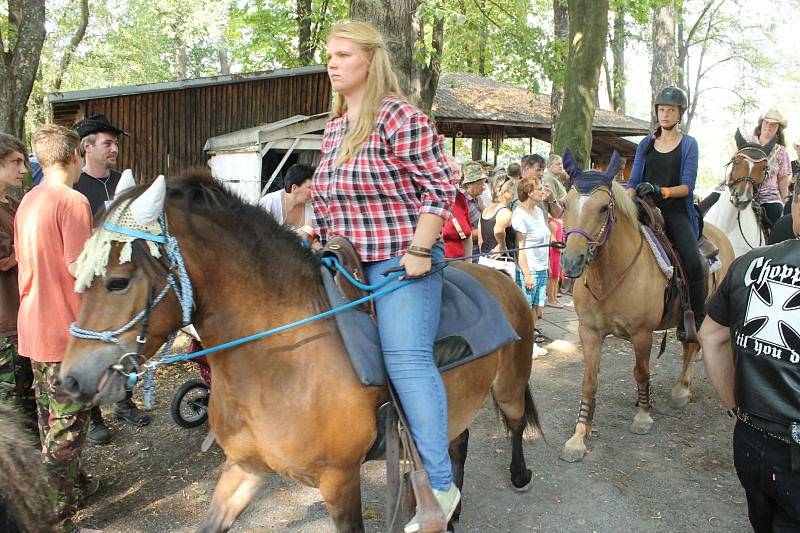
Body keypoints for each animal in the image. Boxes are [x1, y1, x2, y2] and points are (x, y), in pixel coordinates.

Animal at [59, 172, 540, 528]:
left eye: (118, 281)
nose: (70, 380)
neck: (278, 364)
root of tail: (499, 275)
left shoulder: (339, 482)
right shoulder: (245, 468)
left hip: (509, 386)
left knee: (515, 425)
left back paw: (519, 475)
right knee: (457, 442)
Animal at [556, 150, 732, 462]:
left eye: (604, 208)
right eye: (564, 204)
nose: (572, 262)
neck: (610, 275)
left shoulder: (642, 335)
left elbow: (642, 372)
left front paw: (643, 415)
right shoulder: (589, 332)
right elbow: (589, 381)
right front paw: (578, 437)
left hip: (703, 316)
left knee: (693, 346)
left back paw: (681, 390)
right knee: (689, 347)